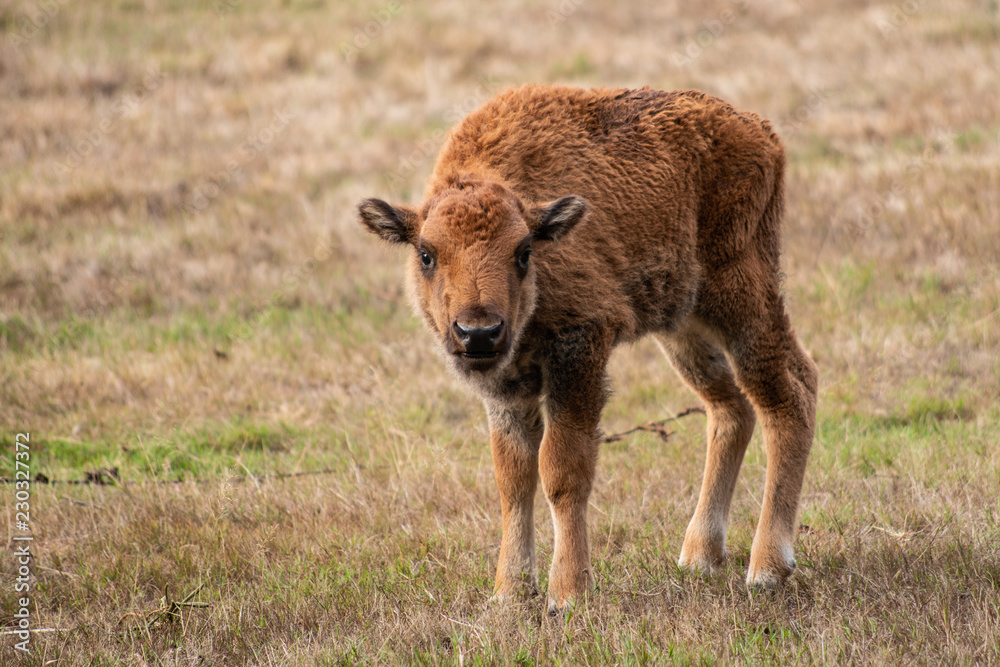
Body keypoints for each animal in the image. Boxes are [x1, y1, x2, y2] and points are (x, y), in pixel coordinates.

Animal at [356, 86, 816, 612]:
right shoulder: (507, 389)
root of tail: (761, 131)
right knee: (730, 407)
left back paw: (767, 568)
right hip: (682, 324)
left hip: (741, 297)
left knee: (789, 393)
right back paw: (700, 555)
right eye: (426, 254)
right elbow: (513, 478)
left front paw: (567, 594)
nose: (479, 332)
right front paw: (510, 593)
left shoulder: (579, 350)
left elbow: (561, 469)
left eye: (524, 252)